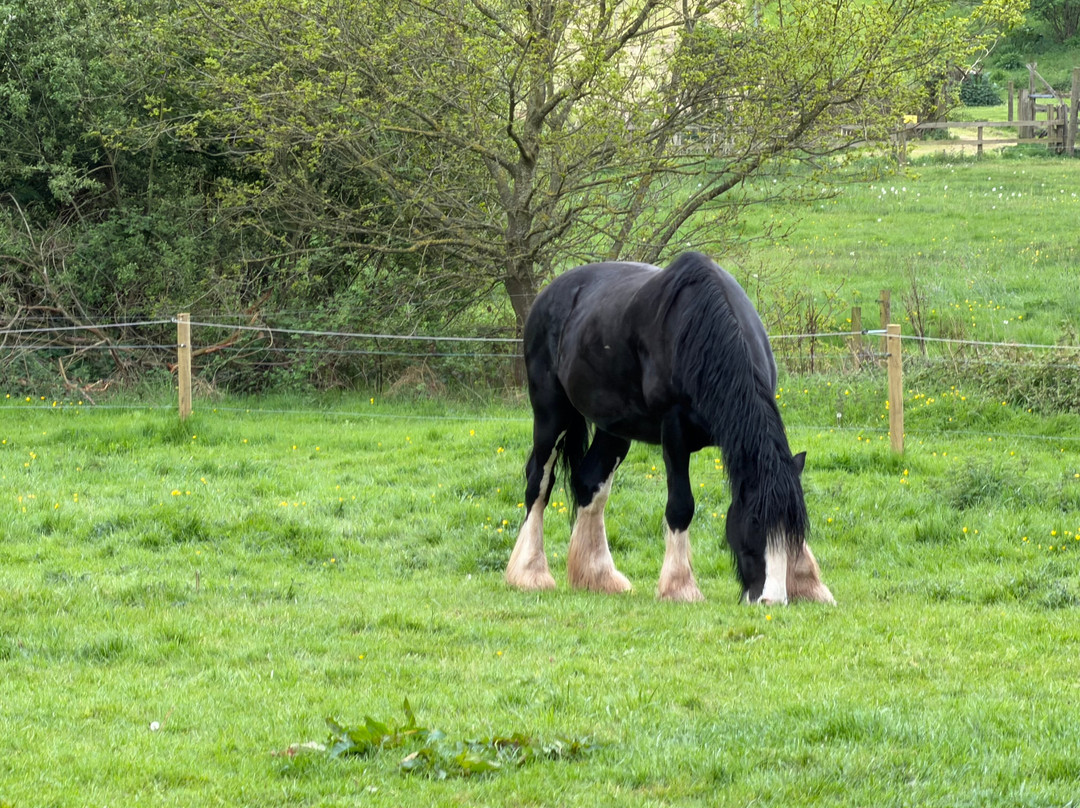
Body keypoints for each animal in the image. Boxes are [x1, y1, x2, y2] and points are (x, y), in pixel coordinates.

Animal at [505, 252, 835, 605]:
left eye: (794, 529)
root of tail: (548, 295)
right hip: (552, 414)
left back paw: (599, 577)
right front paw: (680, 587)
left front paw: (809, 584)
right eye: (755, 522)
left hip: (614, 427)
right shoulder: (674, 431)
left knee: (589, 482)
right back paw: (530, 573)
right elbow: (681, 506)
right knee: (539, 483)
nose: (770, 600)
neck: (701, 332)